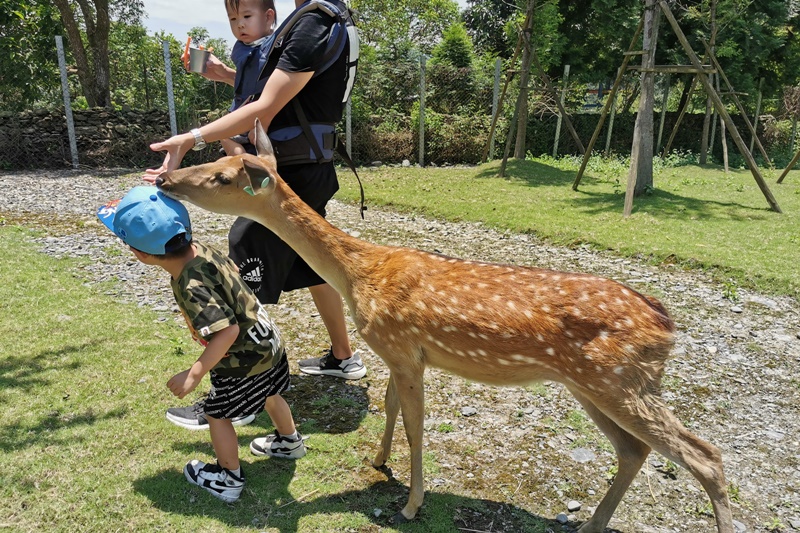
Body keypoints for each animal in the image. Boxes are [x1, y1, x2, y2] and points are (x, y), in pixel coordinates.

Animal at [153, 120, 736, 532]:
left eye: (222, 176)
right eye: (215, 158)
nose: (165, 176)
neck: (361, 276)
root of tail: (666, 324)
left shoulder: (404, 350)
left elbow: (416, 425)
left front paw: (412, 504)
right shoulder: (399, 353)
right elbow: (390, 408)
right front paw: (378, 461)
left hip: (619, 380)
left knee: (704, 455)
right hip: (594, 385)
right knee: (636, 450)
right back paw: (592, 523)